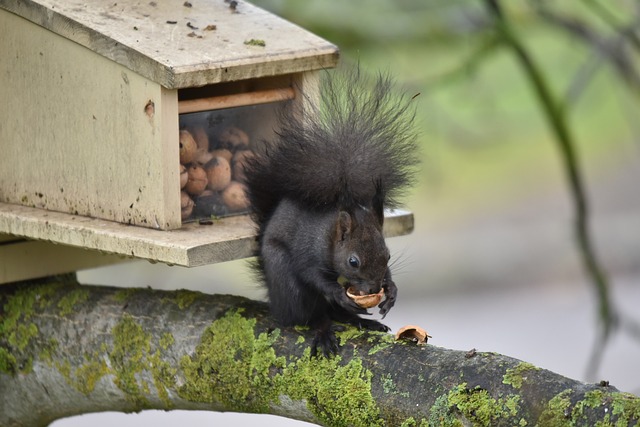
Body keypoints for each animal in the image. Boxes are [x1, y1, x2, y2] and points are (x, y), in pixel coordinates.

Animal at [245, 67, 420, 358]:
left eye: (387, 254)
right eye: (353, 261)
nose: (374, 288)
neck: (330, 234)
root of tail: (275, 299)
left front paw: (391, 291)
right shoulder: (308, 250)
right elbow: (311, 274)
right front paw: (338, 293)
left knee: (336, 314)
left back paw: (363, 321)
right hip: (288, 283)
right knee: (311, 315)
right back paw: (325, 329)